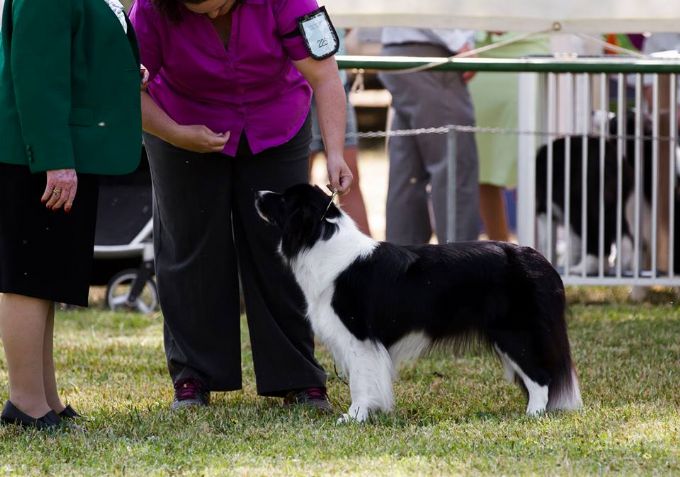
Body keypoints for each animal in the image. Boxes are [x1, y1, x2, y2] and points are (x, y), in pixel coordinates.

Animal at [255, 184, 582, 422]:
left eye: (283, 199)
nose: (257, 194)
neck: (321, 239)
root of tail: (539, 260)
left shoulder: (359, 338)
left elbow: (360, 382)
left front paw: (355, 417)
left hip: (515, 332)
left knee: (541, 376)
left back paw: (533, 414)